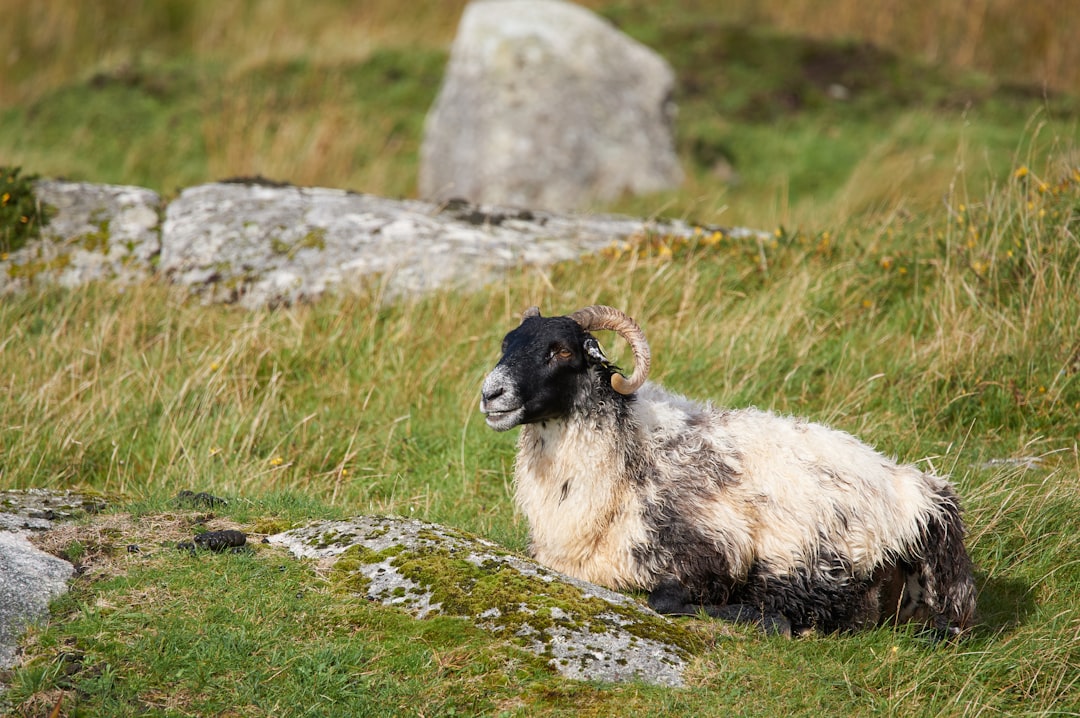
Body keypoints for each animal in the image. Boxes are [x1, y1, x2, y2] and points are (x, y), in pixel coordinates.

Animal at [481, 304, 980, 634]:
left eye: (562, 351)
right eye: (507, 343)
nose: (491, 395)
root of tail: (921, 493)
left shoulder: (712, 552)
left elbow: (664, 599)